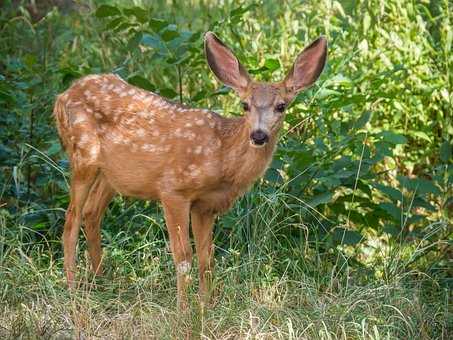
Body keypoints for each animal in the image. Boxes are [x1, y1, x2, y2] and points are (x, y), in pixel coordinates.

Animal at [54, 31, 326, 308]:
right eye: (245, 105)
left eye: (281, 106)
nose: (259, 135)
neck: (222, 158)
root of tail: (62, 96)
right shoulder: (173, 190)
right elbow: (184, 256)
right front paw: (183, 309)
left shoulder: (206, 205)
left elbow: (207, 258)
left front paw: (206, 306)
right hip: (83, 155)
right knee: (71, 219)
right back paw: (73, 289)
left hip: (112, 175)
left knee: (91, 213)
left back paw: (101, 281)